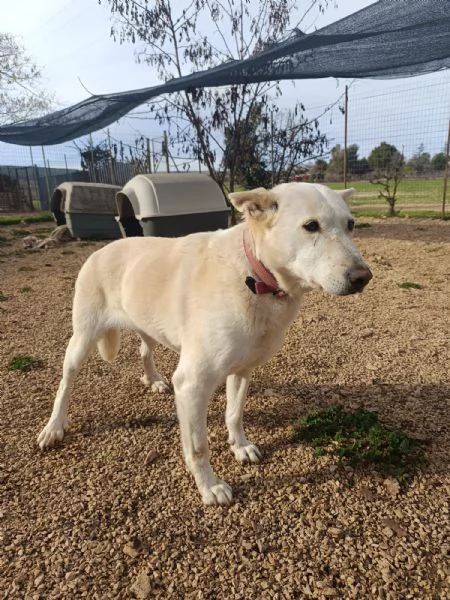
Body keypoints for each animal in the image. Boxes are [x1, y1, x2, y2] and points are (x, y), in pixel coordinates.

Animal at [38, 184, 370, 506]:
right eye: (311, 226)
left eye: (351, 225)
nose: (363, 277)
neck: (253, 275)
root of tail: (102, 248)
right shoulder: (192, 384)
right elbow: (198, 447)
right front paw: (209, 487)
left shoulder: (242, 370)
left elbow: (234, 414)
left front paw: (240, 446)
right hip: (82, 340)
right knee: (65, 383)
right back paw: (53, 428)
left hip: (148, 325)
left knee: (145, 351)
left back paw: (154, 380)